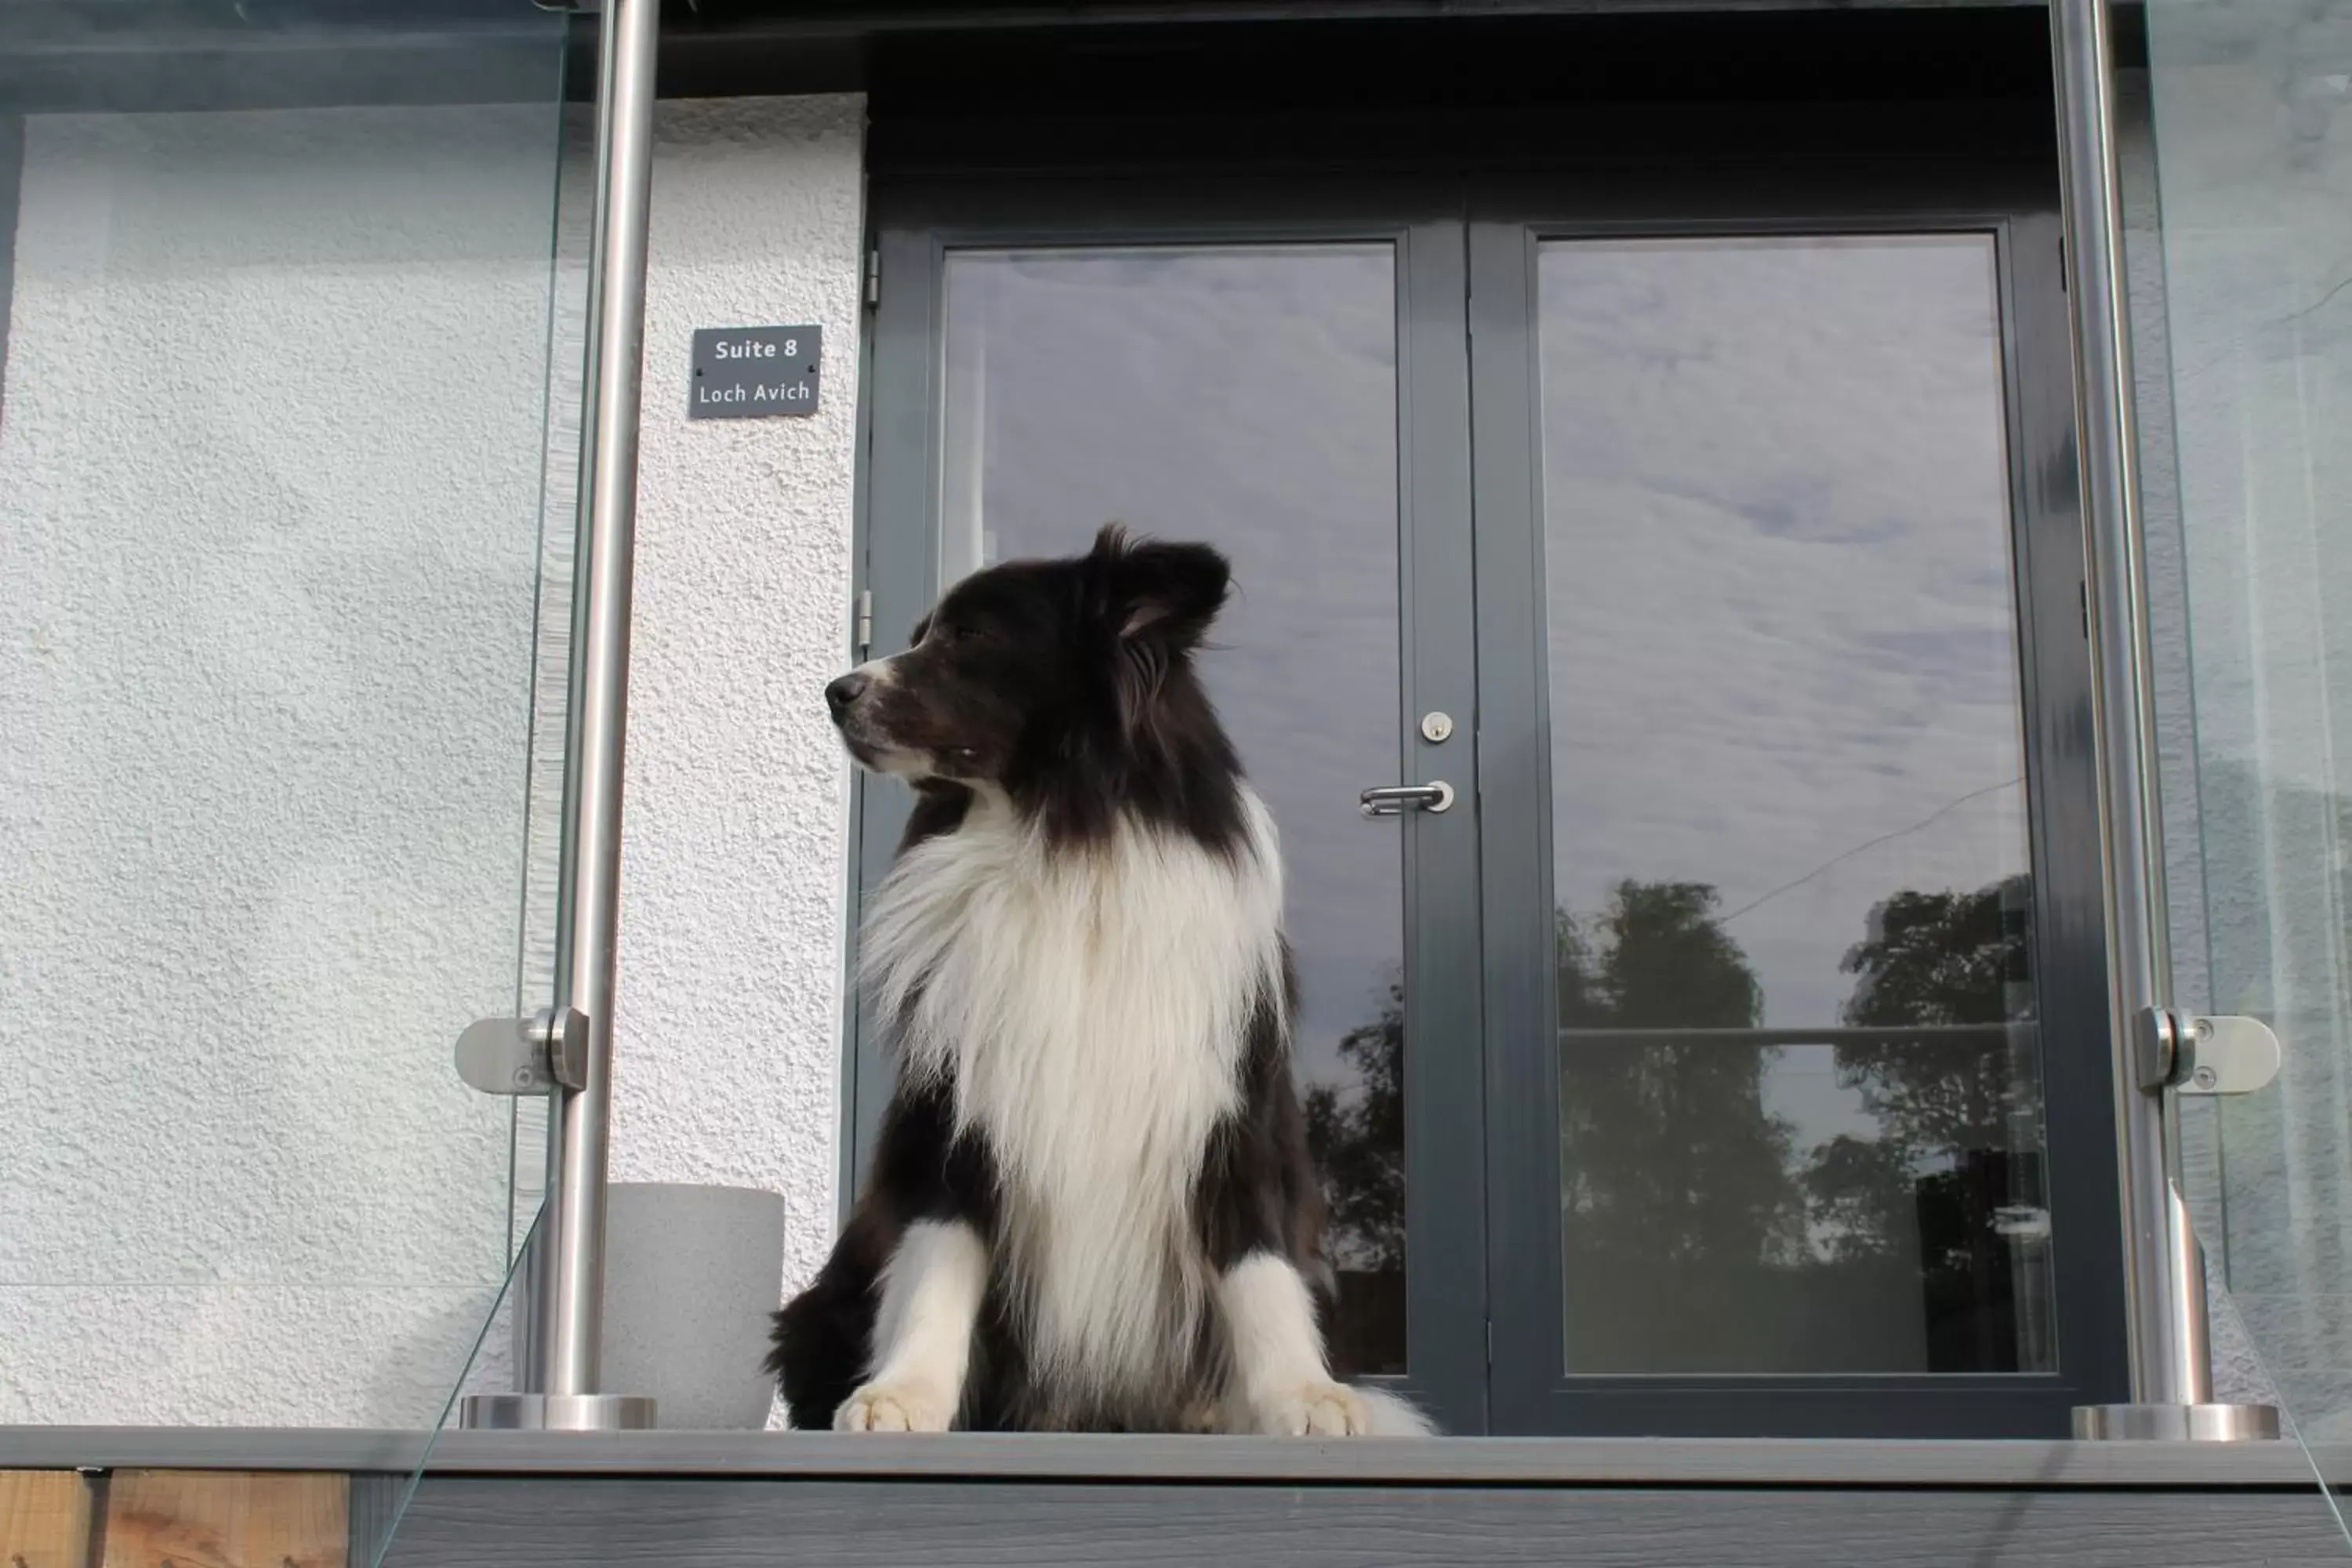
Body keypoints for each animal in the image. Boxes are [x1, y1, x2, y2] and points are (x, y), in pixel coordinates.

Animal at [771, 524, 1430, 1439]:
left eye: (970, 637)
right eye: (916, 634)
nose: (837, 690)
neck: (1058, 833)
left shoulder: (1231, 1099)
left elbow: (1257, 1259)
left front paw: (1302, 1394)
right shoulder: (955, 1108)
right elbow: (940, 1250)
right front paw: (906, 1393)